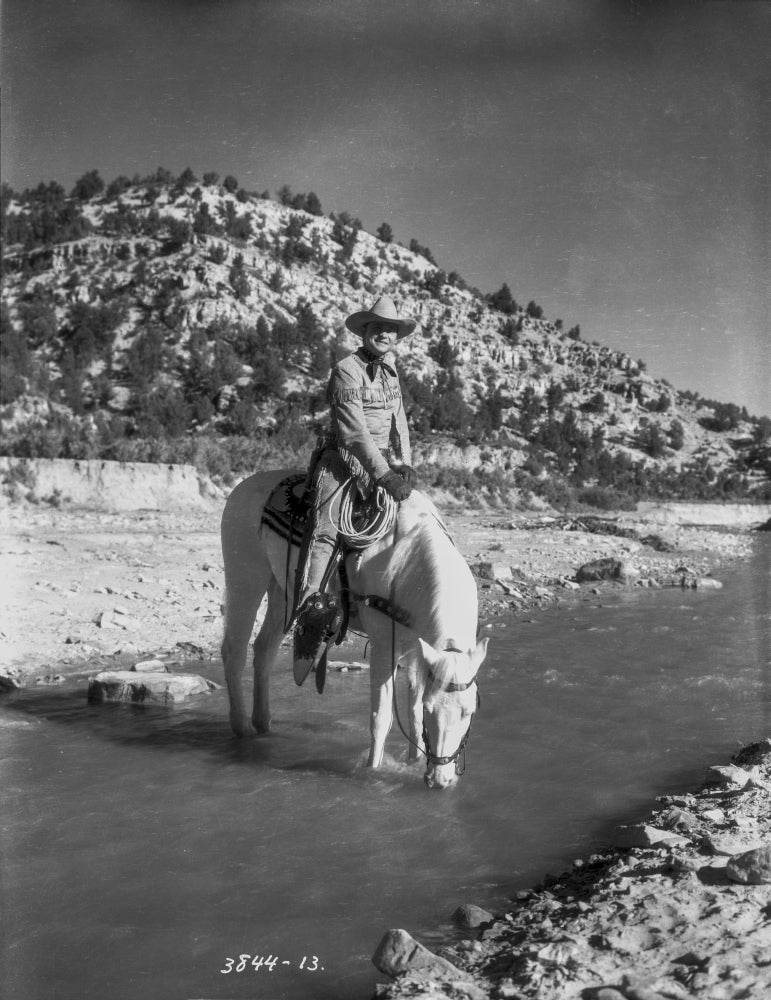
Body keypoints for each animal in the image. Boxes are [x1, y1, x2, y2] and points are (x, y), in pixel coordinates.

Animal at [222, 468, 488, 788]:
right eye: (431, 710)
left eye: (468, 712)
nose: (440, 780)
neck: (408, 563)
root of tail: (243, 486)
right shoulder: (385, 645)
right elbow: (382, 716)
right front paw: (373, 771)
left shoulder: (418, 648)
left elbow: (411, 710)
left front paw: (413, 762)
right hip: (246, 576)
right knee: (235, 650)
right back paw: (242, 728)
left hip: (281, 590)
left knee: (264, 649)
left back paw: (263, 724)